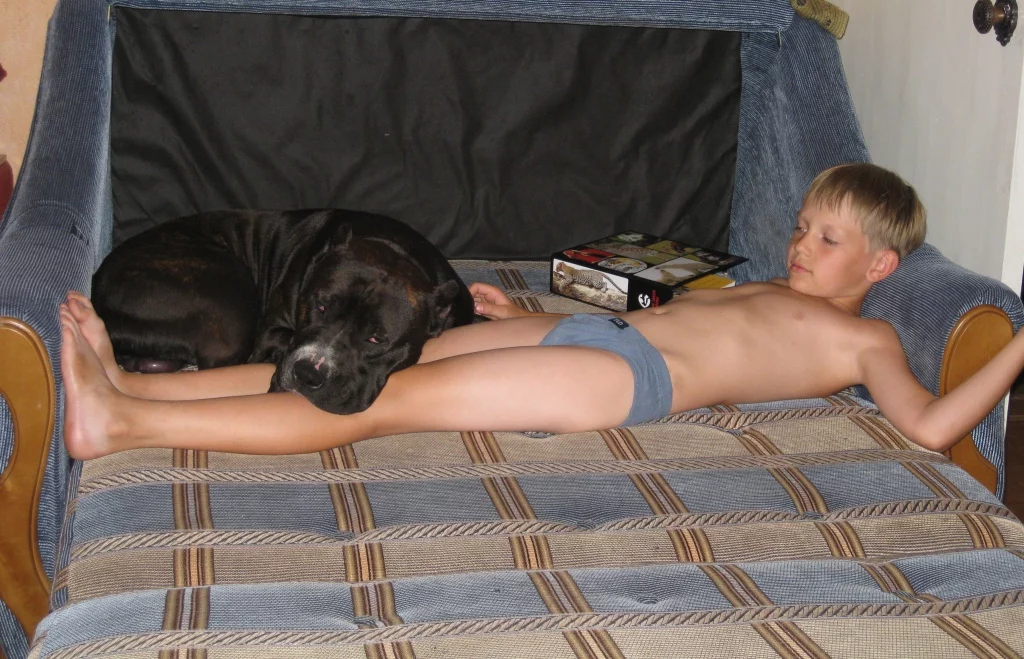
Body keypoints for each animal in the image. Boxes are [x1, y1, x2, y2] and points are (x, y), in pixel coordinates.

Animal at [91, 209, 475, 414]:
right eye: (319, 304)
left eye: (376, 338)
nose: (308, 374)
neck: (395, 248)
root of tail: (97, 286)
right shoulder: (271, 333)